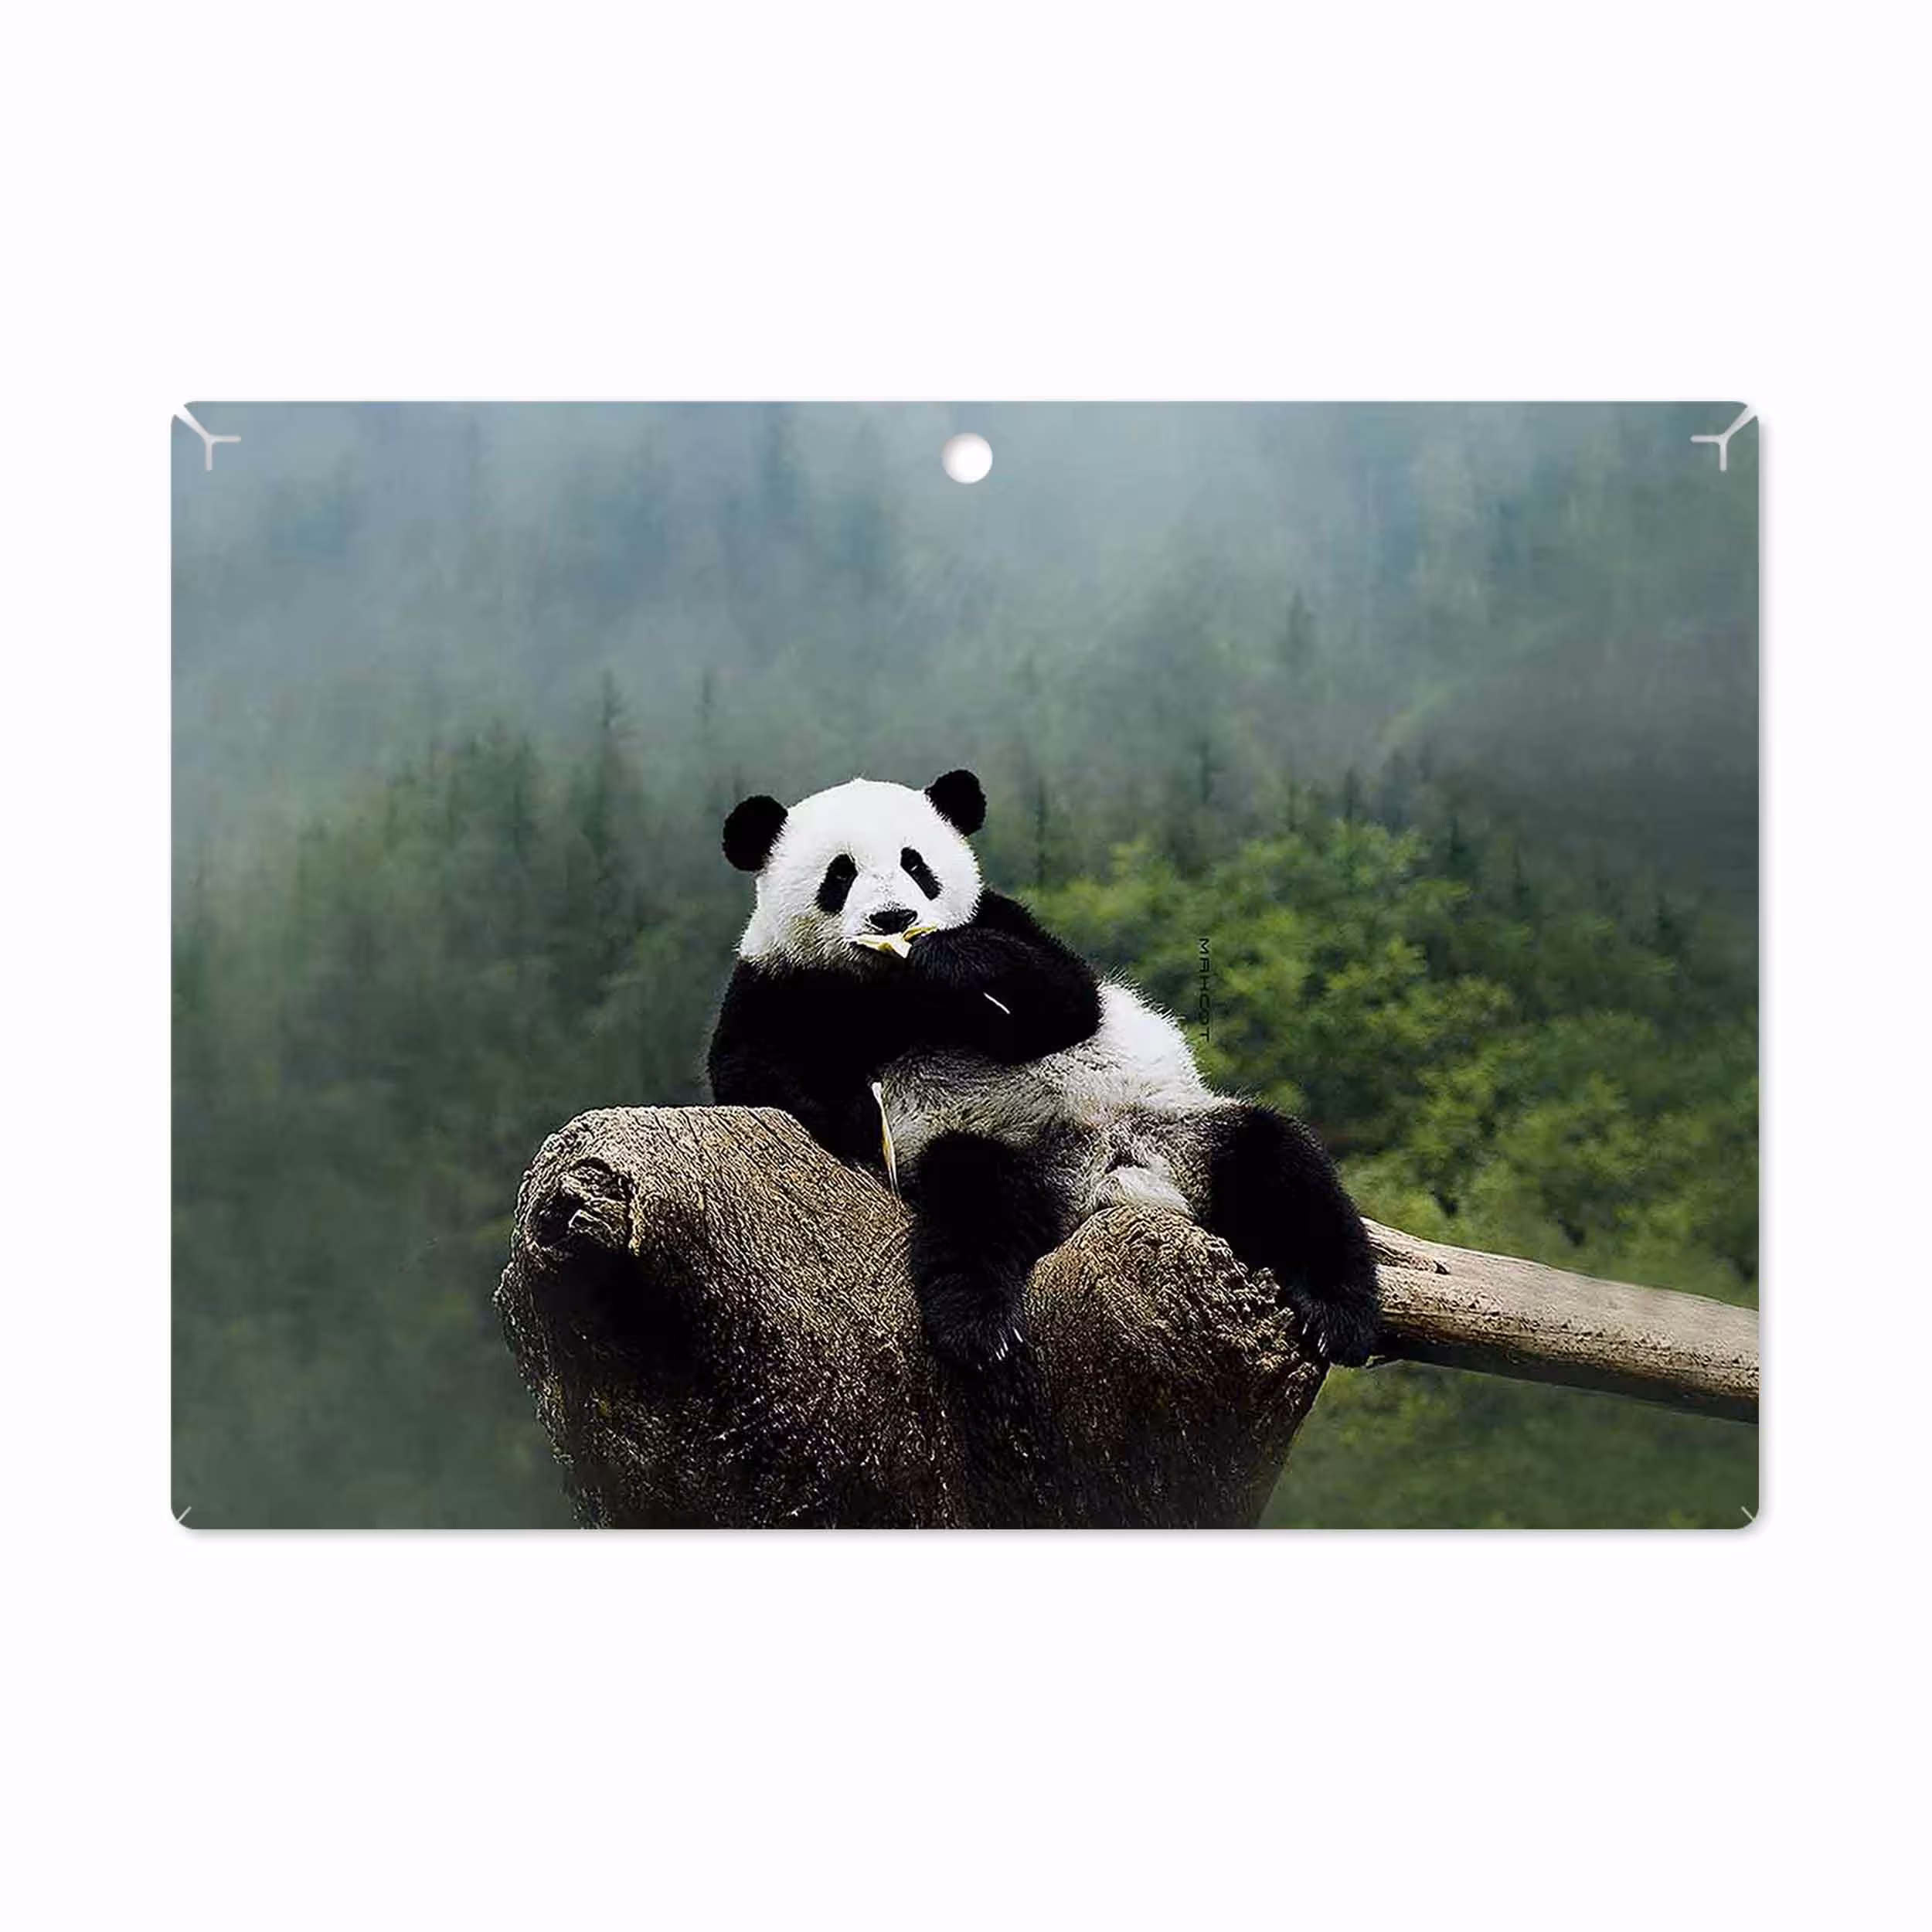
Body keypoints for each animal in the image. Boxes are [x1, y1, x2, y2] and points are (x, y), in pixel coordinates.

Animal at [706, 768, 1381, 1370]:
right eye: (840, 874)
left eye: (916, 865)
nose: (894, 919)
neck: (889, 988)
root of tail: (1108, 1178)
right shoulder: (777, 981)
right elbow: (748, 1071)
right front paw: (855, 1113)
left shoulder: (1002, 919)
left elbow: (1068, 1000)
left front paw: (951, 960)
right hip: (1000, 1150)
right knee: (974, 1203)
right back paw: (979, 1327)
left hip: (1179, 1128)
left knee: (1283, 1166)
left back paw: (1339, 1316)